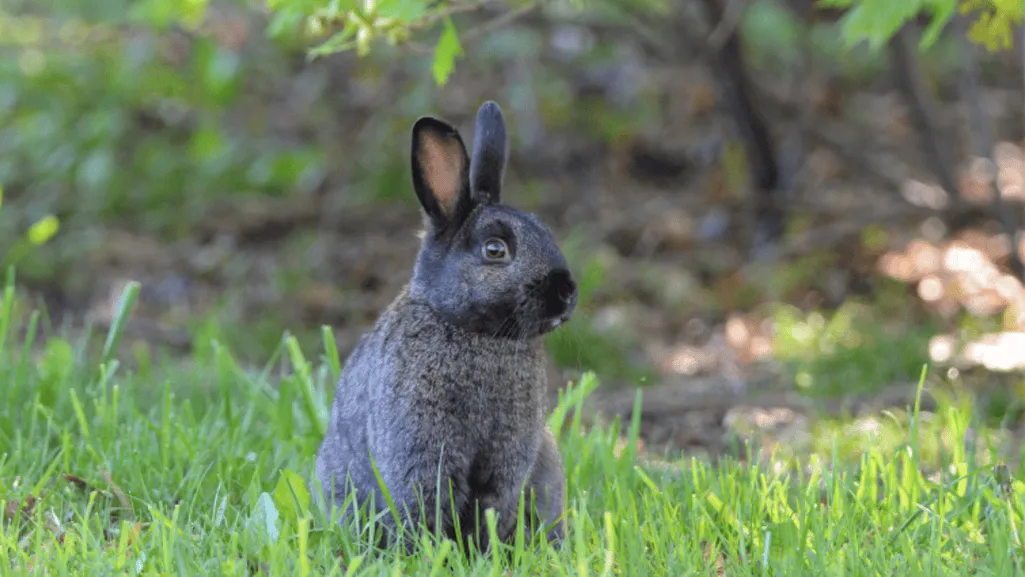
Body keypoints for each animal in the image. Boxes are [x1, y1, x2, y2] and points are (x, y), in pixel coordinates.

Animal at [315, 100, 577, 552]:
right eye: (495, 250)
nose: (567, 293)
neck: (474, 332)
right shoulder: (421, 453)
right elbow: (427, 504)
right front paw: (434, 553)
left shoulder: (507, 461)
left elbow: (492, 507)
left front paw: (479, 551)